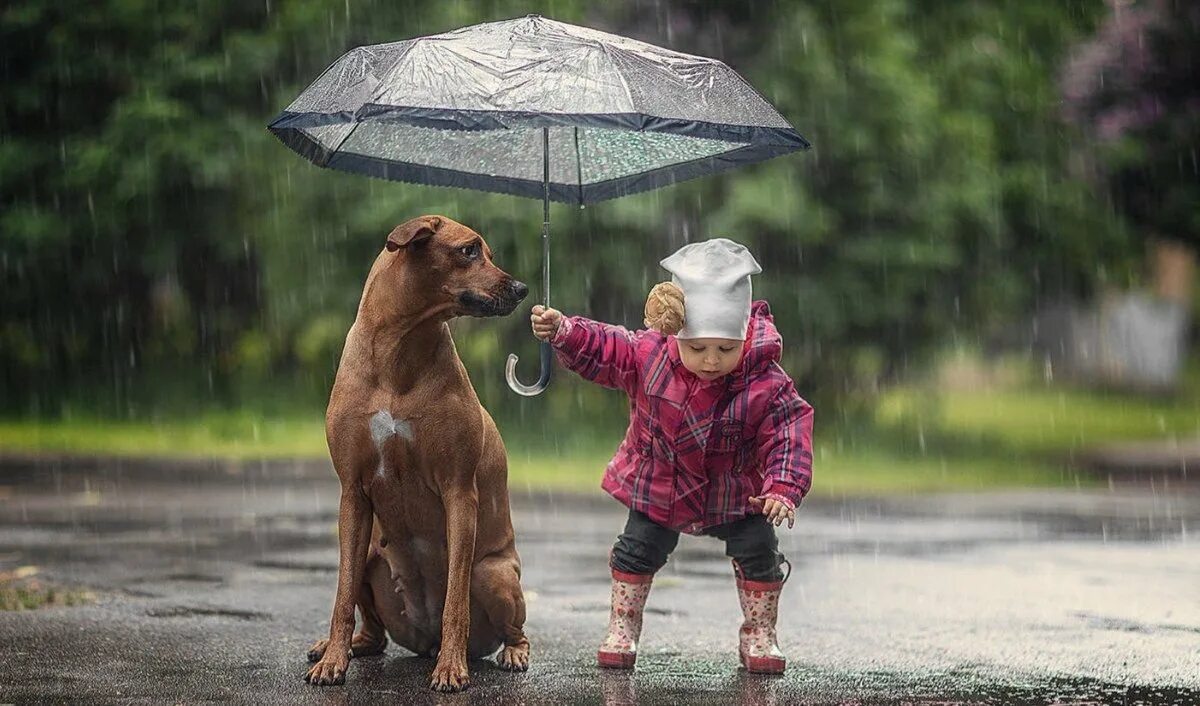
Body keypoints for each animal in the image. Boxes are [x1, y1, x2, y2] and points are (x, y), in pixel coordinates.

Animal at [307, 213, 532, 691]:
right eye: (469, 250)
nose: (522, 288)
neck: (400, 350)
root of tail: (422, 641)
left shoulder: (459, 492)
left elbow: (454, 603)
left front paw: (451, 668)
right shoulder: (352, 492)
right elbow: (341, 593)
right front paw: (332, 661)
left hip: (493, 573)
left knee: (512, 627)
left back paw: (508, 652)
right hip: (371, 554)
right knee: (373, 632)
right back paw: (342, 645)